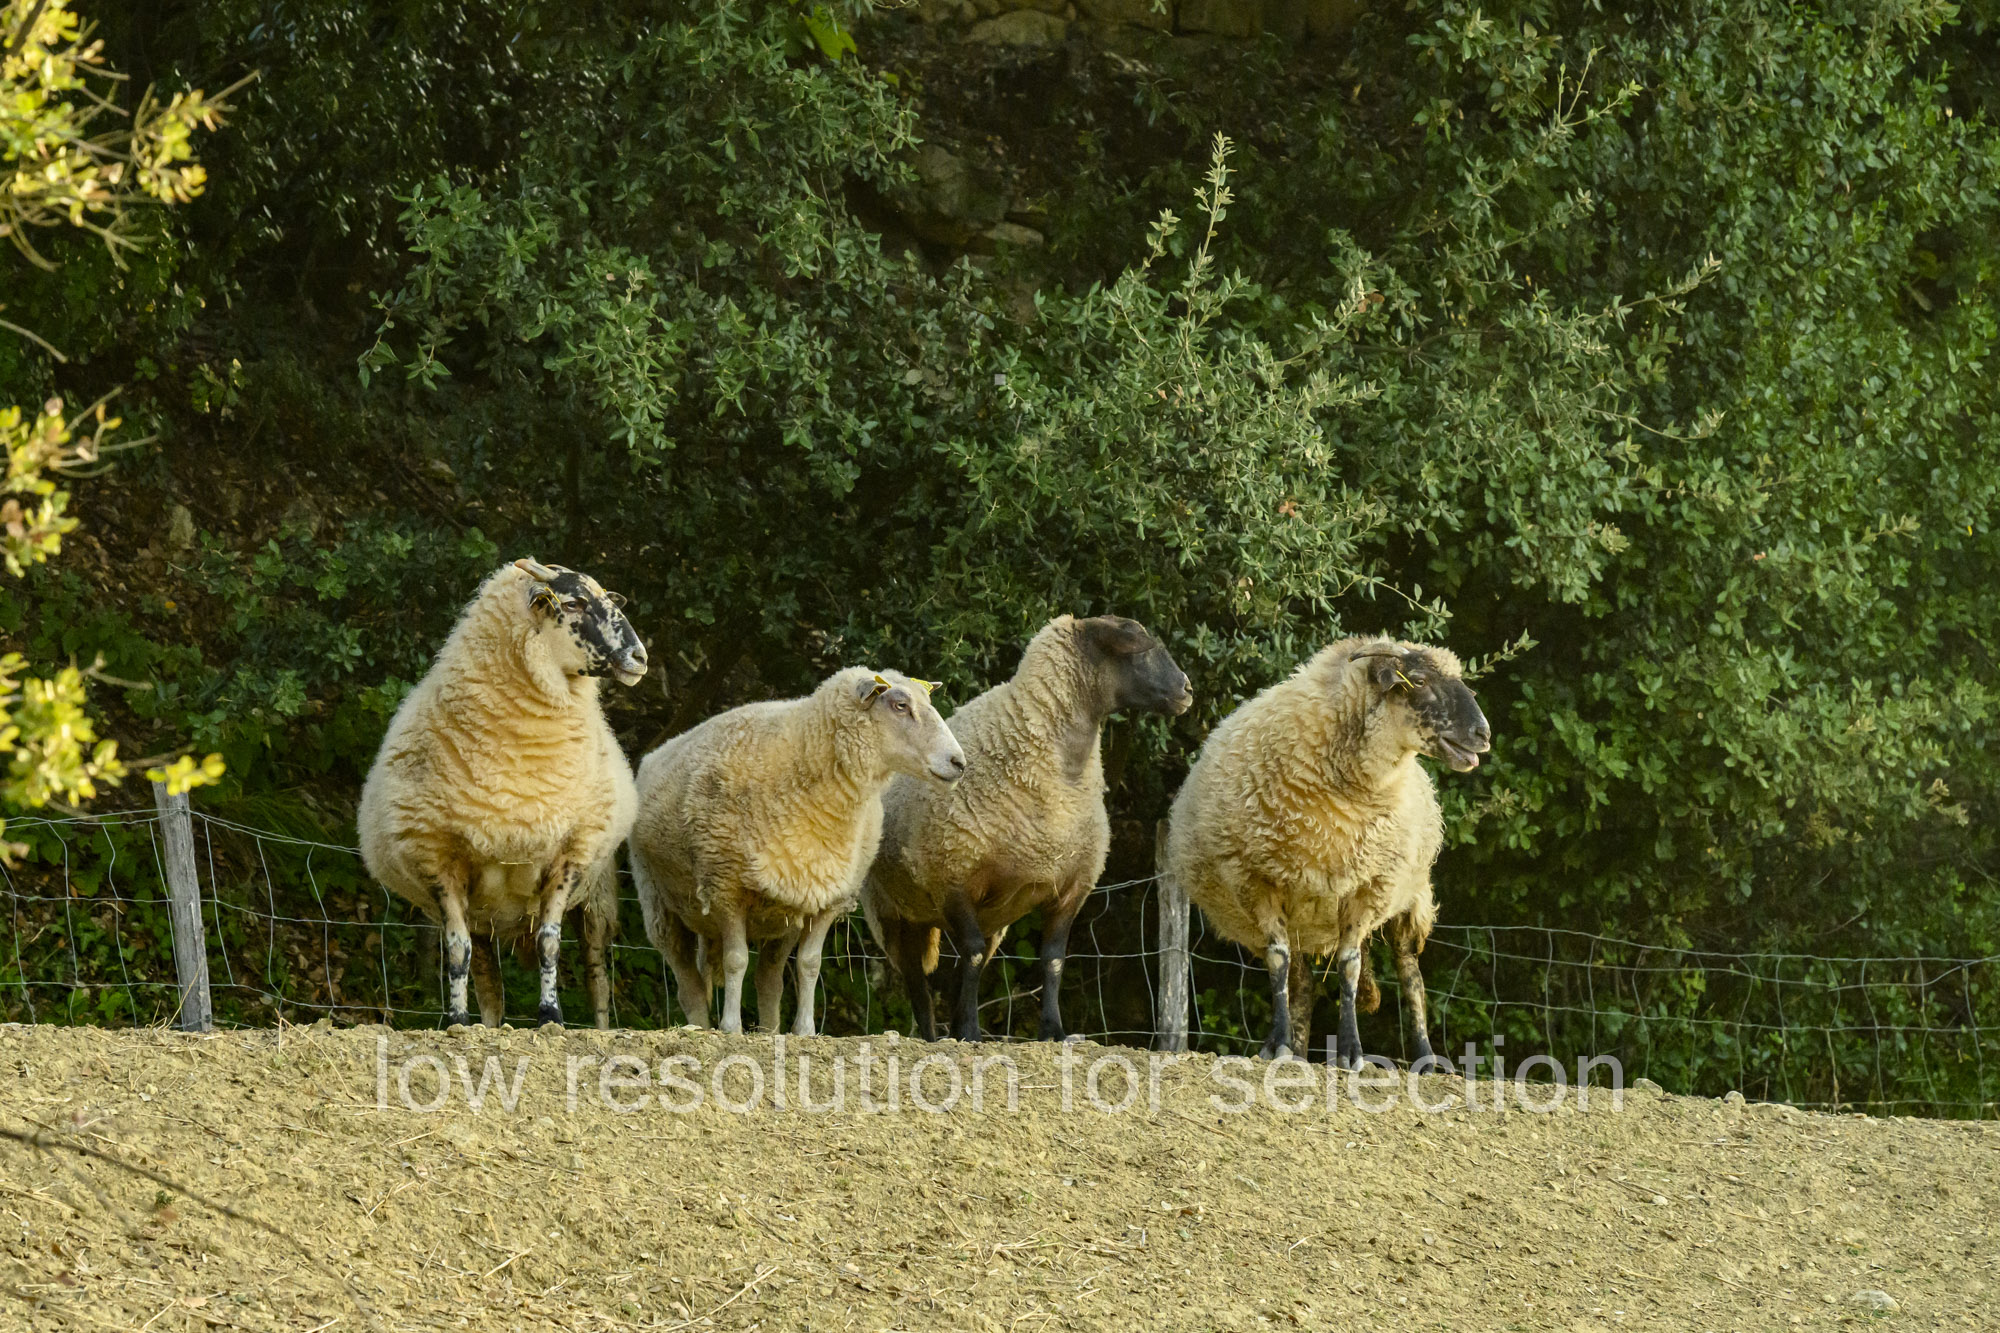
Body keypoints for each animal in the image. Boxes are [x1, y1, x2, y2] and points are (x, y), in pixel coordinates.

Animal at [358, 558, 648, 1030]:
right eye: (574, 602)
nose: (640, 657)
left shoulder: (569, 854)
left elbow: (550, 942)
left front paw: (550, 1016)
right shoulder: (438, 860)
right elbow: (457, 951)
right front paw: (457, 1021)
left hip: (598, 895)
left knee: (596, 972)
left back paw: (601, 1027)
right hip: (484, 916)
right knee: (488, 981)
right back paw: (488, 1027)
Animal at [628, 667, 967, 1036]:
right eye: (900, 705)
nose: (958, 762)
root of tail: (655, 754)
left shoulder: (829, 895)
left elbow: (809, 964)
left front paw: (805, 1030)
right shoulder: (725, 887)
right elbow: (736, 961)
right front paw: (731, 1027)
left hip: (783, 912)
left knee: (769, 979)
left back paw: (770, 1032)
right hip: (658, 902)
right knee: (688, 981)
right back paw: (703, 1028)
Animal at [862, 615, 1192, 1043]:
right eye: (1138, 646)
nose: (1187, 690)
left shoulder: (1071, 887)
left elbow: (1051, 961)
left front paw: (1053, 1030)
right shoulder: (954, 875)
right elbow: (970, 954)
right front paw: (971, 1031)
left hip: (980, 919)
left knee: (960, 970)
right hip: (893, 913)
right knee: (918, 980)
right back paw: (937, 1034)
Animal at [1161, 636, 1488, 1067]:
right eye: (1418, 680)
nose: (1483, 734)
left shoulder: (1369, 886)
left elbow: (1350, 967)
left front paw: (1350, 1051)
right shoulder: (1257, 880)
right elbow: (1278, 962)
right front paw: (1279, 1044)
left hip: (1409, 895)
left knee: (1410, 973)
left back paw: (1425, 1057)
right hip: (1296, 919)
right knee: (1302, 983)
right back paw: (1298, 1050)